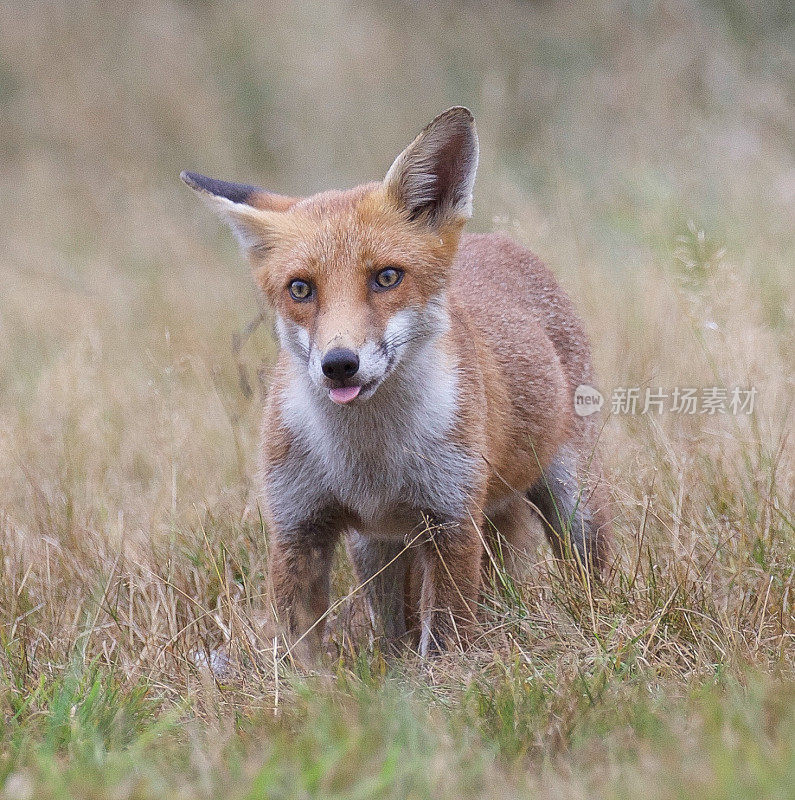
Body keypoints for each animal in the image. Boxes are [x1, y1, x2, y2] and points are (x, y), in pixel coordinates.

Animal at [183, 106, 612, 656]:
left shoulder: (451, 519)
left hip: (570, 500)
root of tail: (499, 241)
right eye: (300, 289)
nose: (339, 364)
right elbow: (297, 645)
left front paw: (445, 674)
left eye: (386, 277)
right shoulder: (298, 524)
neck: (369, 459)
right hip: (376, 548)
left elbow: (447, 638)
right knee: (394, 622)